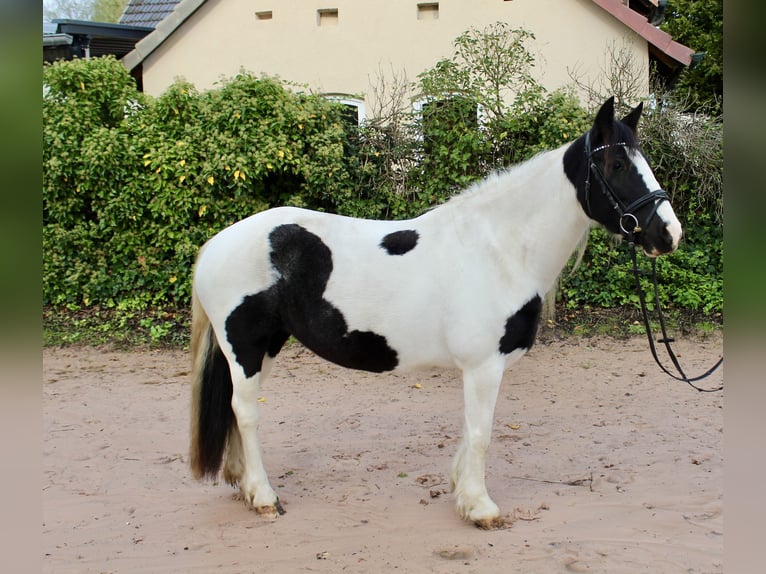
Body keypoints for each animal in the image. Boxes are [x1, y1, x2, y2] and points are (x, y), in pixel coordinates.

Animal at [189, 97, 680, 528]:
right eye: (617, 165)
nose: (669, 233)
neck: (501, 249)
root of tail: (216, 244)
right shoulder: (483, 365)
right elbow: (481, 433)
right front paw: (480, 508)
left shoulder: (479, 368)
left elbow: (469, 429)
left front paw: (462, 491)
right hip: (245, 345)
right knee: (246, 412)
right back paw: (264, 497)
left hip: (266, 346)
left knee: (237, 409)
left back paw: (243, 484)